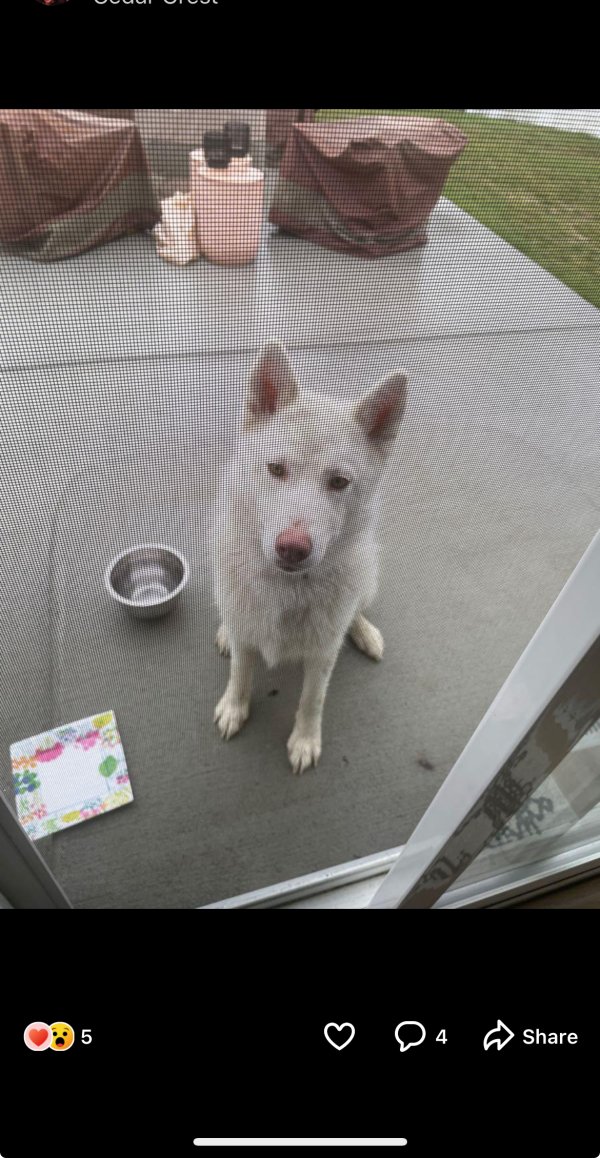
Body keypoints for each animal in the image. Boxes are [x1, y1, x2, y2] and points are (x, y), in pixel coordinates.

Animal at [213, 342, 410, 778]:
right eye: (275, 468)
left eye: (339, 481)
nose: (292, 547)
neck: (286, 587)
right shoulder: (245, 635)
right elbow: (240, 672)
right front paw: (235, 706)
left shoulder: (322, 656)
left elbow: (312, 700)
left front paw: (305, 739)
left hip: (366, 581)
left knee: (355, 611)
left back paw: (364, 632)